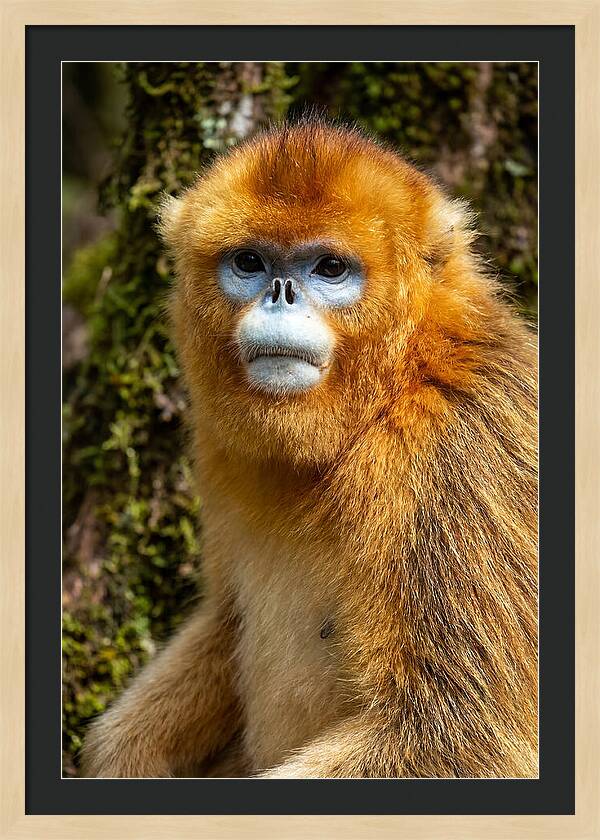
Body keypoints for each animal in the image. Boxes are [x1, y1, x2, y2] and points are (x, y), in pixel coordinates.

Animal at [81, 119, 538, 779]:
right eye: (249, 261)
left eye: (328, 268)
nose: (281, 292)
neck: (390, 394)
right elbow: (224, 621)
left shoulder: (460, 450)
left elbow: (465, 737)